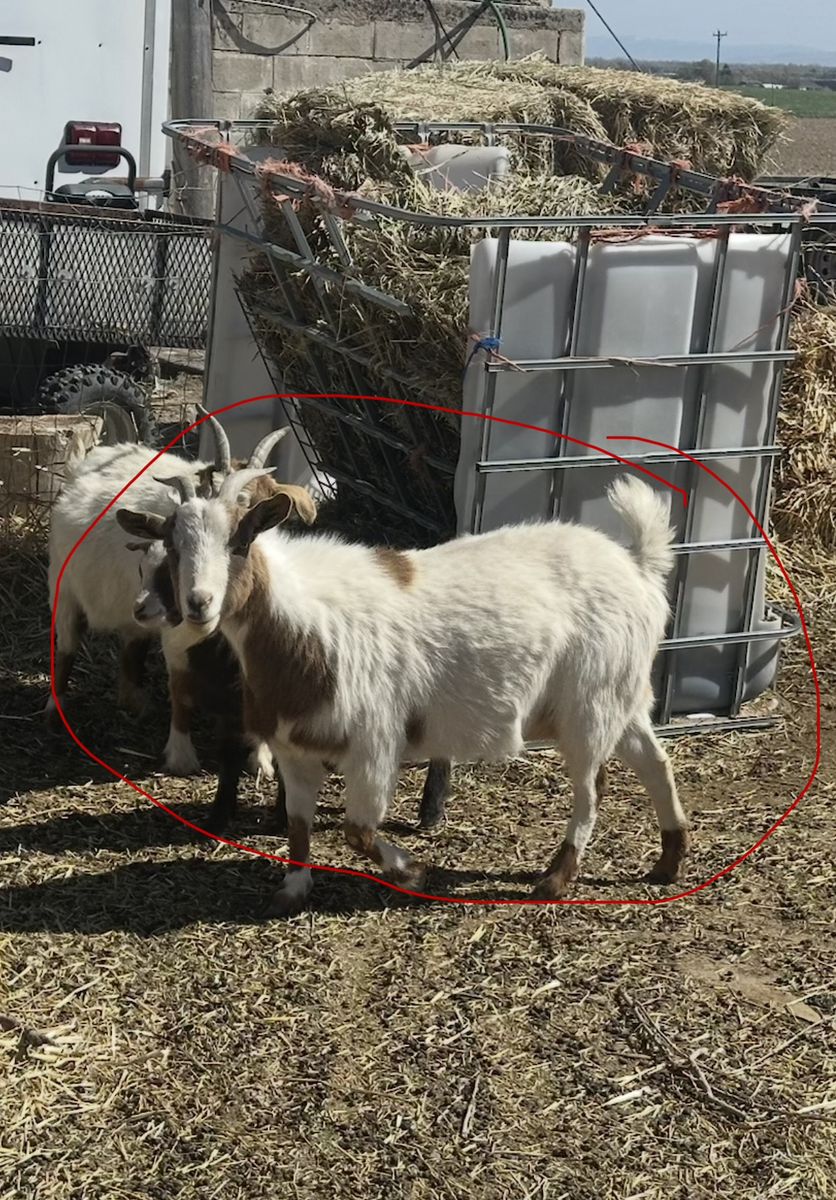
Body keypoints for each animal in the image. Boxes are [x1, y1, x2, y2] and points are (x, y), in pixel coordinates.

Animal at [46, 409, 297, 777]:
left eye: (246, 528)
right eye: (173, 541)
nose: (200, 599)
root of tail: (91, 458)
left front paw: (262, 759)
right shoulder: (176, 635)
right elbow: (181, 691)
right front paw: (181, 757)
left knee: (132, 645)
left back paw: (134, 701)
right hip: (63, 587)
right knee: (65, 647)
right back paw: (55, 711)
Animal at [118, 467, 689, 912]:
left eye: (241, 542)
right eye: (173, 547)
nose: (199, 604)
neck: (303, 624)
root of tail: (638, 565)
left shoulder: (373, 744)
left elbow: (358, 831)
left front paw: (412, 871)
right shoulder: (294, 749)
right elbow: (299, 828)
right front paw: (292, 889)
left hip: (589, 704)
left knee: (593, 789)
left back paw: (555, 879)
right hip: (622, 696)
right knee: (655, 762)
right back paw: (669, 861)